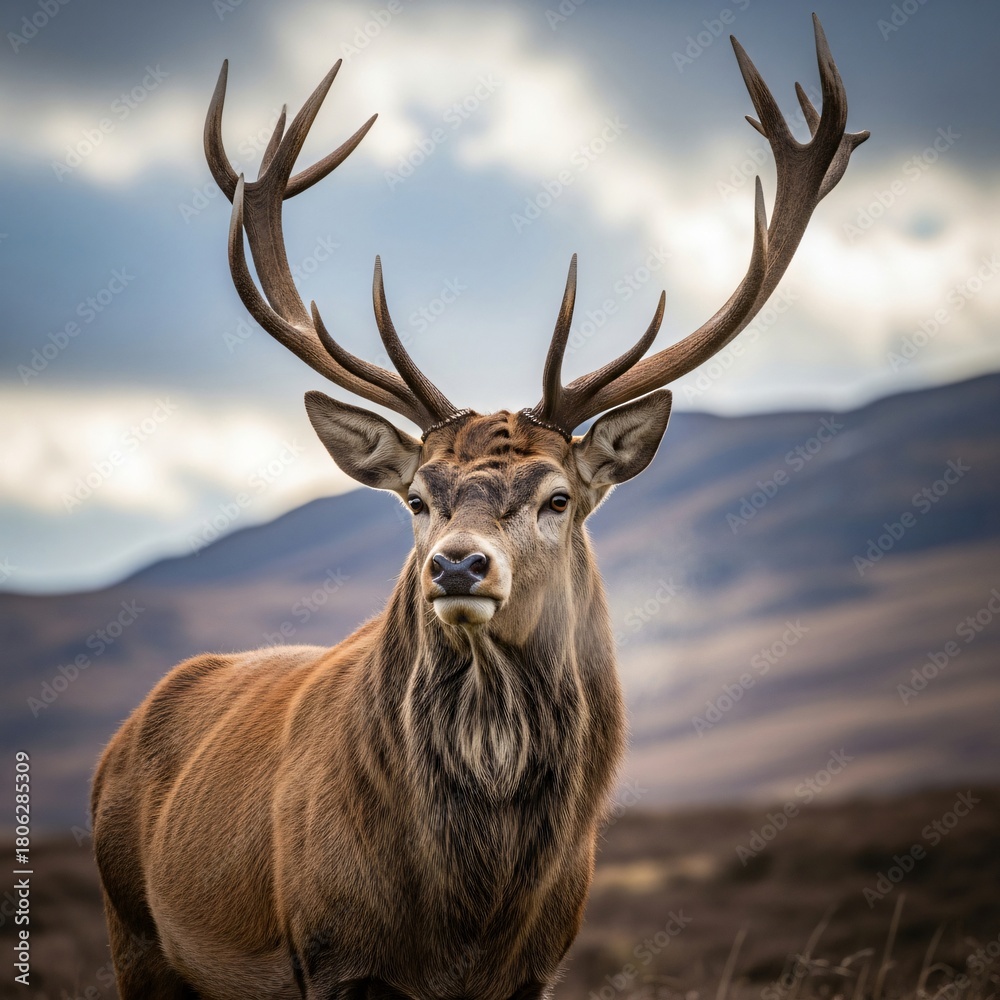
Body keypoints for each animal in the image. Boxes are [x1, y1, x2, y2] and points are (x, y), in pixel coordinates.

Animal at [91, 16, 866, 1000]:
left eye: (558, 497)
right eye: (418, 498)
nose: (457, 563)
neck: (472, 911)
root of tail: (122, 737)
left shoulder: (537, 966)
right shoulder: (331, 952)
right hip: (136, 931)